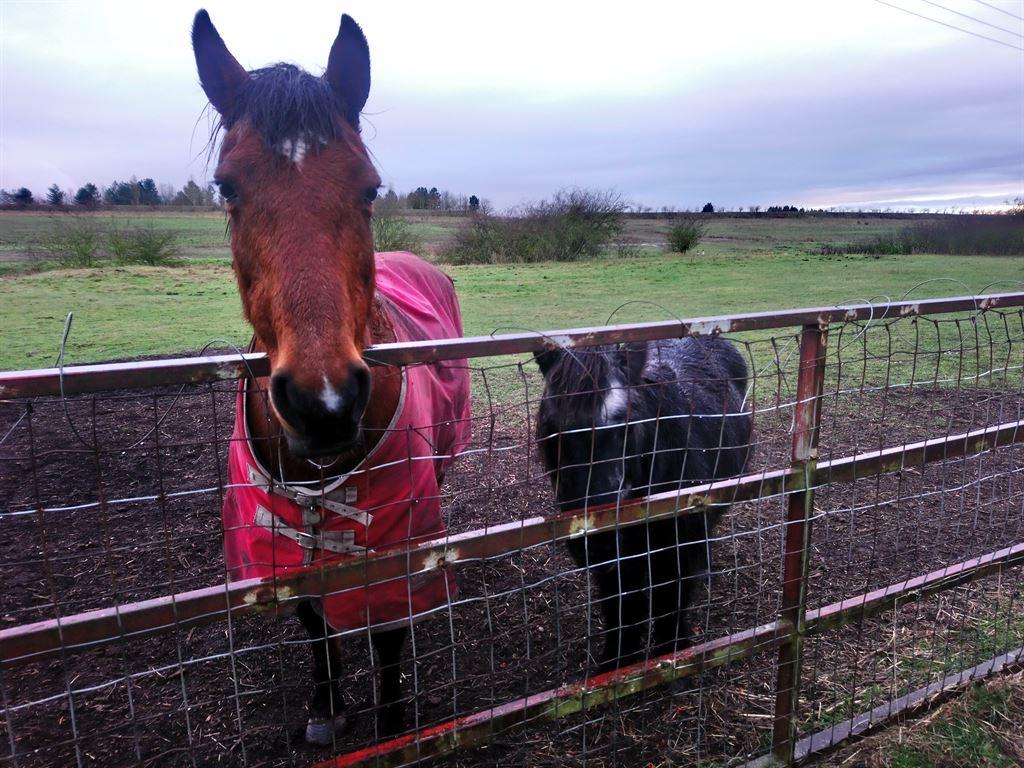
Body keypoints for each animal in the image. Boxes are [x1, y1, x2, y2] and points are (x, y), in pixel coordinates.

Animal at [191, 11, 471, 745]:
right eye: (228, 187)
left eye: (368, 187)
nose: (324, 403)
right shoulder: (284, 547)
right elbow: (315, 624)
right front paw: (324, 710)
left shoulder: (396, 543)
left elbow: (389, 635)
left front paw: (394, 722)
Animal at [533, 336, 752, 670]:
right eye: (550, 426)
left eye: (626, 423)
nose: (596, 542)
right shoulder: (620, 563)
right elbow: (621, 607)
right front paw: (617, 661)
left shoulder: (677, 548)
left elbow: (670, 601)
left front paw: (673, 653)